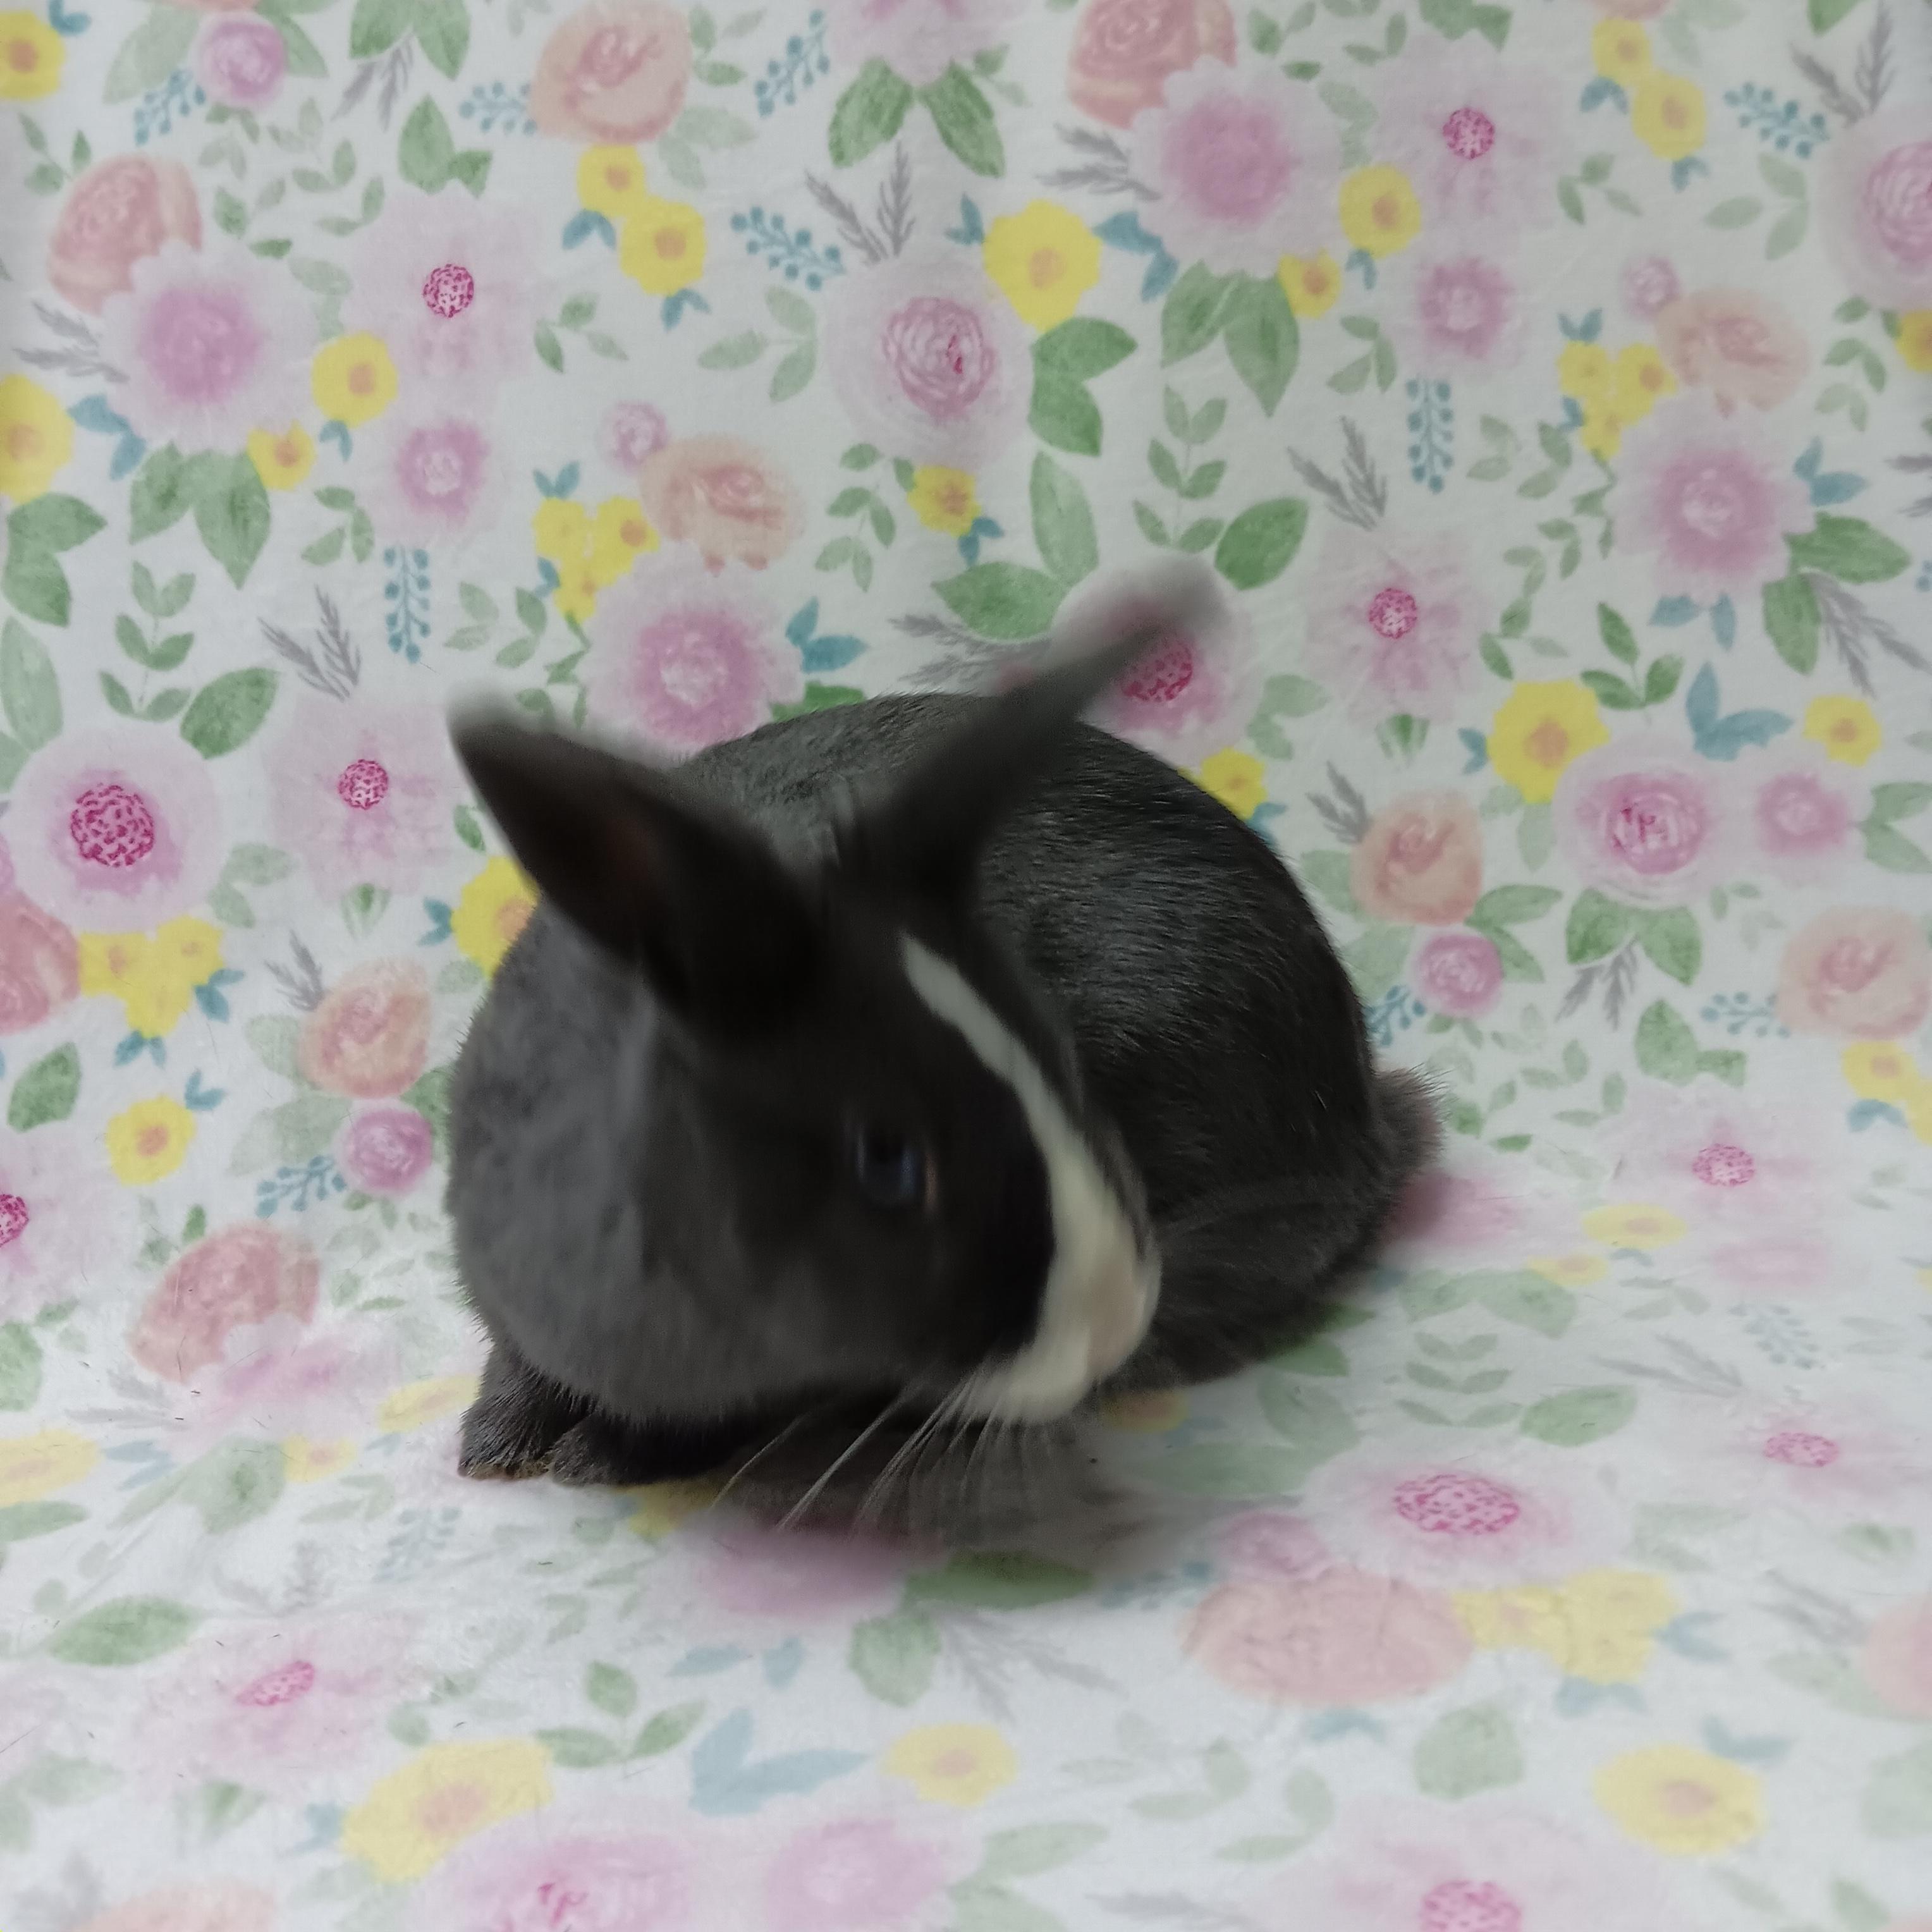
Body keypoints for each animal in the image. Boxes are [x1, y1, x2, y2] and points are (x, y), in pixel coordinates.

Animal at [444, 585, 1436, 1533]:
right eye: (888, 1160)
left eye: (1061, 1062)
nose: (1115, 1320)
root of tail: (1366, 1117)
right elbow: (519, 1360)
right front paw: (495, 1444)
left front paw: (601, 1455)